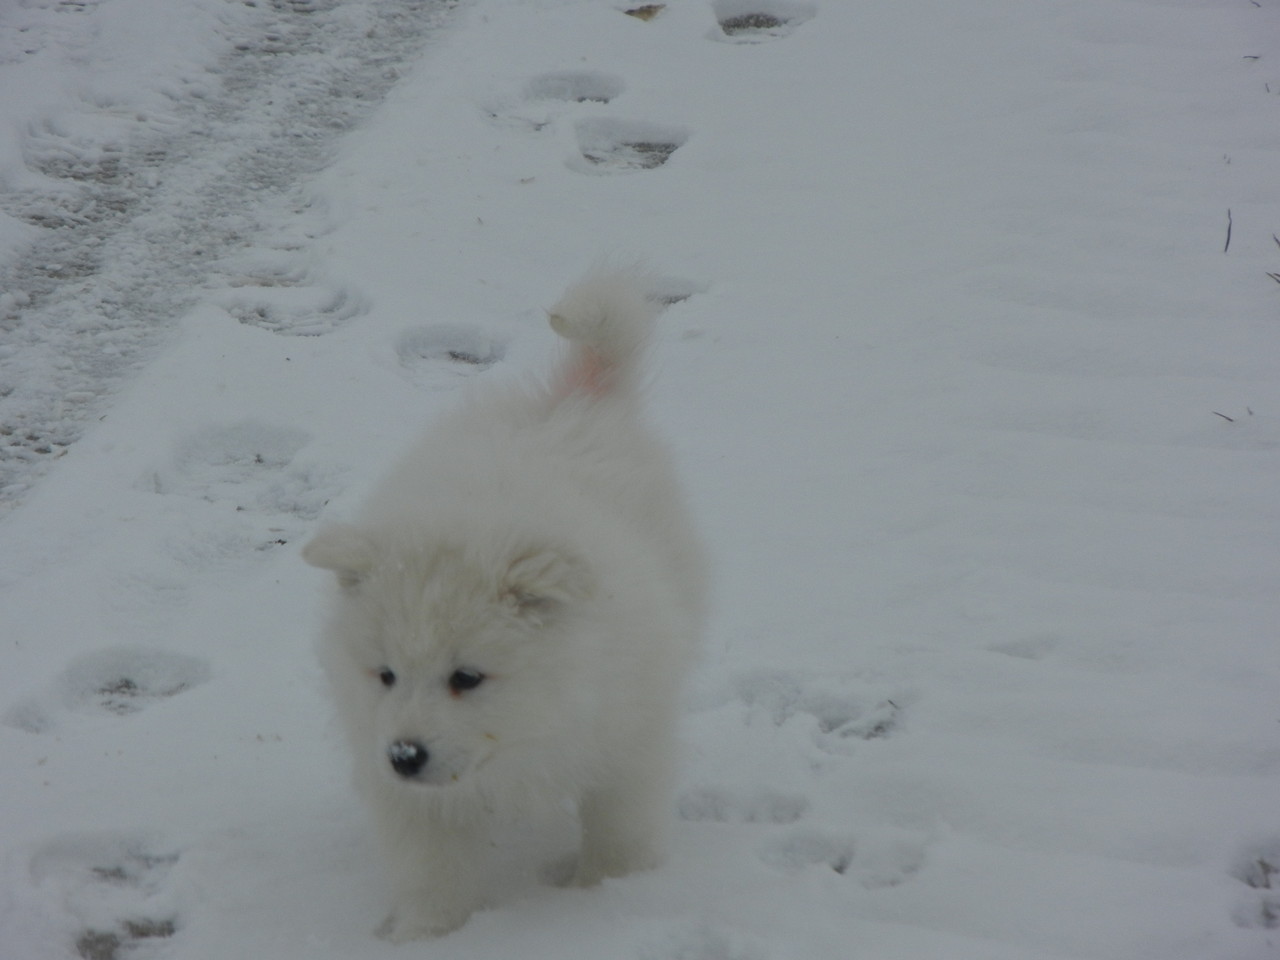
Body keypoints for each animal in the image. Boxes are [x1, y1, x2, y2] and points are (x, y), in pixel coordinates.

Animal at [305, 267, 711, 942]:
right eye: (385, 675)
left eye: (467, 677)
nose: (405, 757)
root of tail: (573, 398)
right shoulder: (396, 773)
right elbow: (430, 863)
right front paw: (426, 934)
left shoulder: (630, 733)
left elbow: (619, 827)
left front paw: (611, 896)